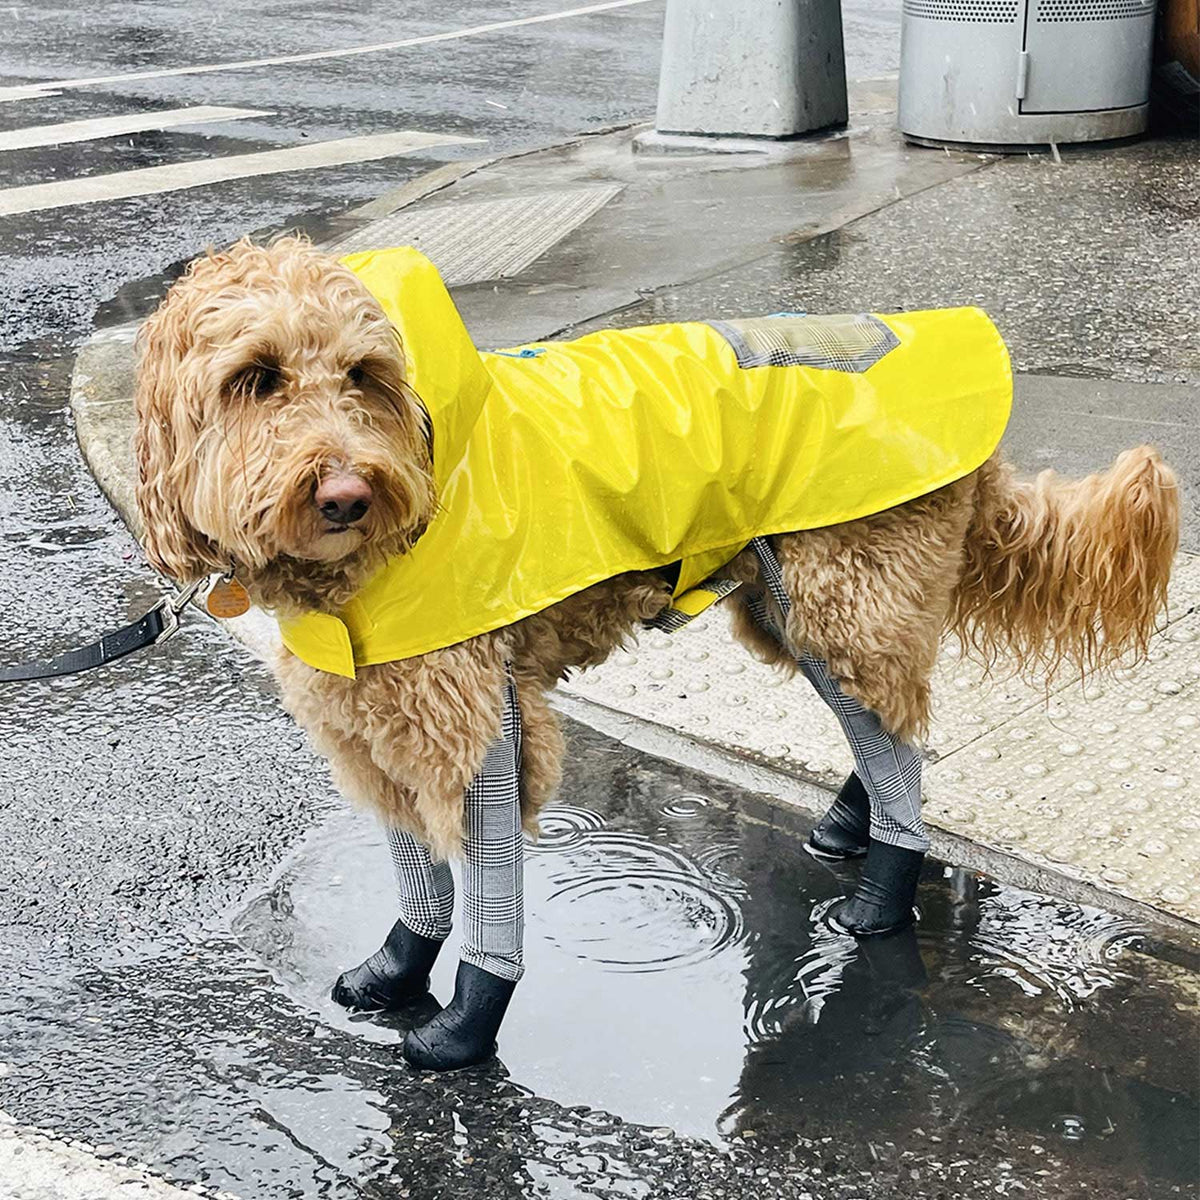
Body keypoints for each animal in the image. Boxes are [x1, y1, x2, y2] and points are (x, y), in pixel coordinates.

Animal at [133, 234, 1180, 1070]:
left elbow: (488, 892)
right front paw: (396, 967)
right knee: (891, 726)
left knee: (896, 736)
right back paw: (853, 819)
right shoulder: (371, 715)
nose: (348, 494)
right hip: (799, 603)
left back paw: (886, 888)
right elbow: (414, 871)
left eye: (362, 374)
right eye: (254, 377)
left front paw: (467, 1024)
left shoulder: (478, 721)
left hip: (841, 594)